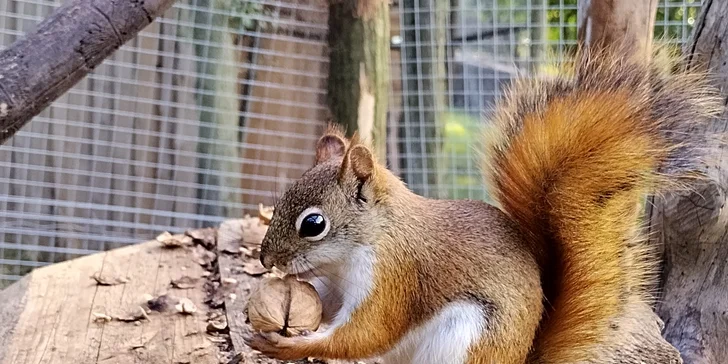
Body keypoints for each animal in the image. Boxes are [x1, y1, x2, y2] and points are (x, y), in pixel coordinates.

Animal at [245, 46, 724, 364]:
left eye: (314, 224)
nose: (266, 259)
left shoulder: (395, 278)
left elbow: (366, 332)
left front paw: (286, 345)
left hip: (466, 340)